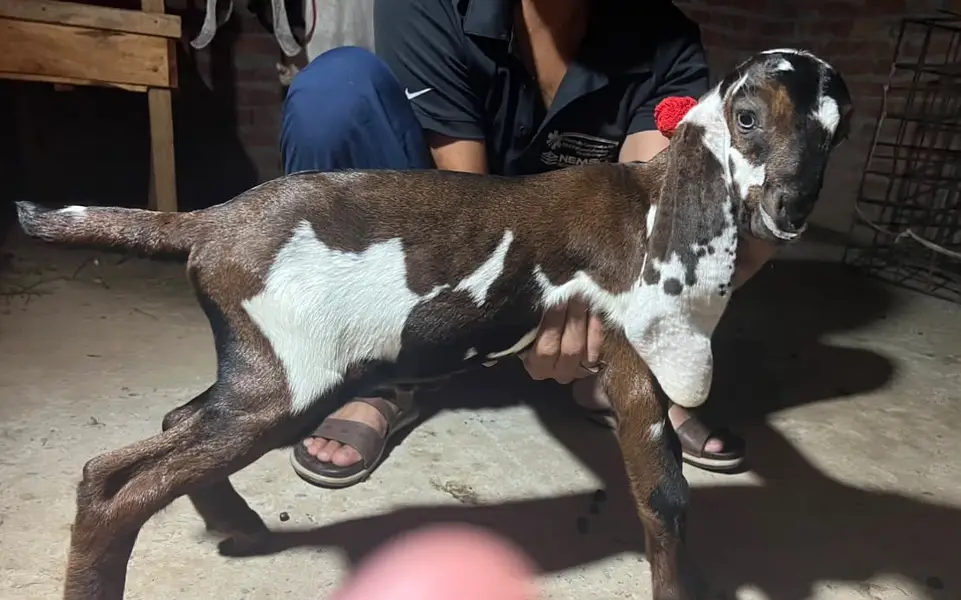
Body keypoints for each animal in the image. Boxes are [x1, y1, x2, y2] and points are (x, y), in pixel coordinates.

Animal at [14, 48, 852, 600]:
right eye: (746, 117)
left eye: (835, 133)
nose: (791, 209)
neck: (653, 199)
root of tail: (211, 223)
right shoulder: (633, 357)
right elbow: (664, 497)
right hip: (283, 381)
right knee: (113, 485)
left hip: (259, 372)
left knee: (165, 429)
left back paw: (239, 523)